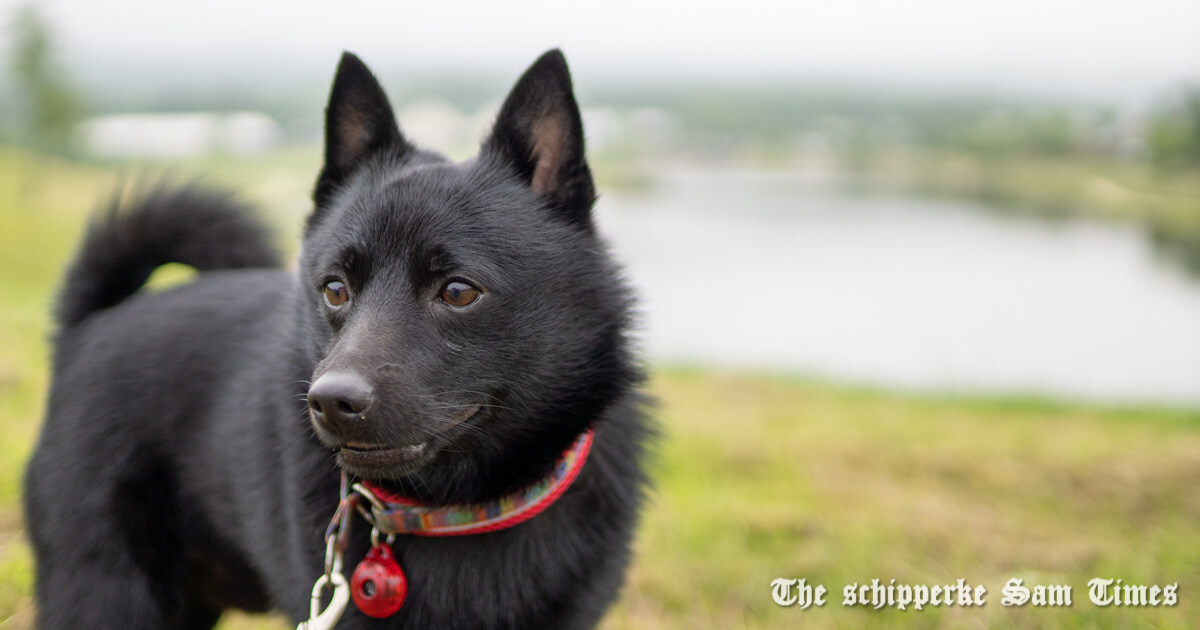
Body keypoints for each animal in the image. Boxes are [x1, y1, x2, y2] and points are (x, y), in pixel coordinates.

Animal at [23, 49, 652, 628]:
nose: (330, 401)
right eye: (334, 289)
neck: (455, 510)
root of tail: (93, 323)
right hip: (106, 595)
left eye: (457, 291)